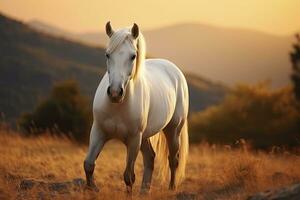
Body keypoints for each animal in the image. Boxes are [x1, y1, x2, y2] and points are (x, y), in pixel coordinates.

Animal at [83, 21, 189, 192]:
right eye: (107, 54)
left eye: (133, 56)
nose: (115, 92)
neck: (118, 107)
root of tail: (174, 70)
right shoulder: (98, 132)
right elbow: (88, 165)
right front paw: (92, 190)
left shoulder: (133, 140)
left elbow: (128, 176)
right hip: (145, 136)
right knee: (150, 158)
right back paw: (144, 191)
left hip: (173, 130)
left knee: (173, 159)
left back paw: (171, 189)